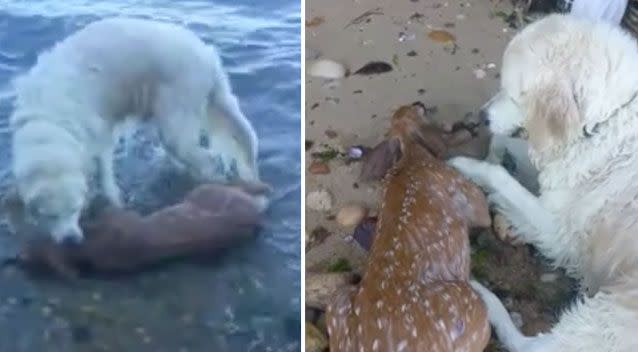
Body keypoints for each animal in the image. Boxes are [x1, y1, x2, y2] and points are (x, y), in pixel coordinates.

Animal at [8, 17, 262, 243]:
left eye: (74, 210)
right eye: (50, 216)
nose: (71, 240)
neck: (49, 124)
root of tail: (209, 57)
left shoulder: (98, 133)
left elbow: (105, 173)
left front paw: (113, 200)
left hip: (177, 112)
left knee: (205, 158)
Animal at [328, 103, 492, 350]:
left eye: (401, 111)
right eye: (419, 113)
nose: (419, 103)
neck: (411, 157)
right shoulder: (471, 197)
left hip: (338, 299)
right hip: (472, 308)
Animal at [450, 13, 638, 352]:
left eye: (513, 92)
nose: (481, 117)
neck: (605, 119)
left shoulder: (557, 231)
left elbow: (500, 176)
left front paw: (469, 167)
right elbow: (507, 146)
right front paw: (495, 152)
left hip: (608, 319)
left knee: (528, 346)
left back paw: (483, 297)